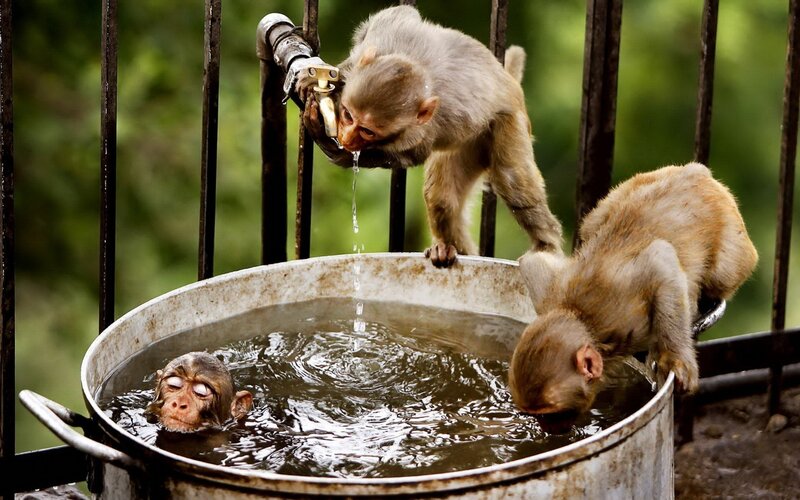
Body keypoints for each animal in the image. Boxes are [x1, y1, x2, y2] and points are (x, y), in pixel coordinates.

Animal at [299, 6, 563, 267]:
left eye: (367, 131)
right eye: (347, 115)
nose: (346, 138)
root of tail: (510, 84)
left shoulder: (421, 131)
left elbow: (410, 155)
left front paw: (334, 148)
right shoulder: (385, 34)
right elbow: (398, 14)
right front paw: (328, 80)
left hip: (507, 123)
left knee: (512, 180)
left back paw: (546, 246)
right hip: (470, 145)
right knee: (442, 199)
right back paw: (448, 249)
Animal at [508, 163, 758, 415]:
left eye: (550, 414)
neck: (583, 319)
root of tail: (695, 172)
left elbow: (660, 258)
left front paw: (676, 359)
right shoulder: (550, 295)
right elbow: (532, 261)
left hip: (730, 234)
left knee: (721, 275)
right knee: (592, 224)